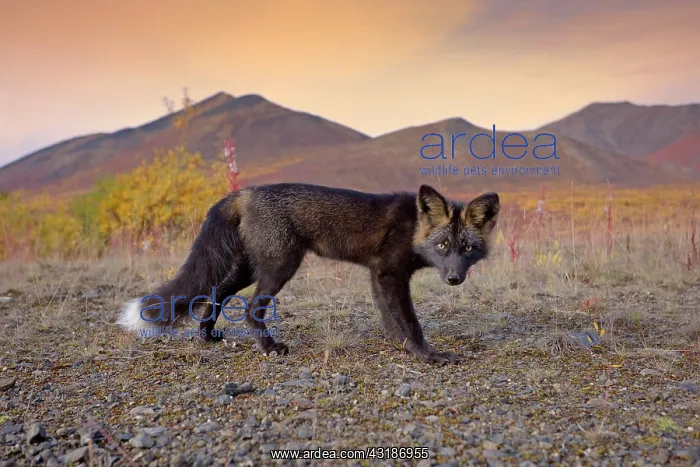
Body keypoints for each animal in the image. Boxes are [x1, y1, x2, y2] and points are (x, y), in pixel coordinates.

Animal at [118, 183, 500, 364]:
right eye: (442, 246)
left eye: (467, 249)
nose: (454, 279)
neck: (413, 229)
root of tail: (247, 192)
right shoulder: (389, 274)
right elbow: (410, 322)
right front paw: (428, 356)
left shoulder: (377, 275)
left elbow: (391, 321)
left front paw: (401, 347)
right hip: (280, 267)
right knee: (250, 309)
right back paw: (269, 347)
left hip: (249, 268)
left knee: (214, 294)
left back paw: (206, 337)